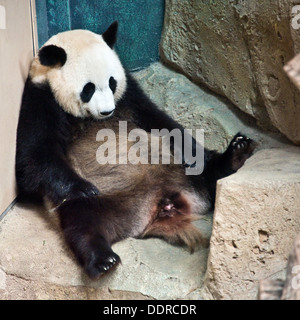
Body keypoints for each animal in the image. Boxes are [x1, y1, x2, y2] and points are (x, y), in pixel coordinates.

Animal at [15, 21, 255, 278]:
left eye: (112, 82)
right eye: (88, 88)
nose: (107, 111)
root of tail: (161, 203)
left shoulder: (129, 95)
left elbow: (160, 121)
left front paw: (194, 151)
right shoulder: (40, 100)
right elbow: (34, 158)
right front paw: (84, 188)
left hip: (178, 171)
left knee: (208, 172)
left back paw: (235, 153)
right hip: (108, 202)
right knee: (83, 224)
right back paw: (103, 259)